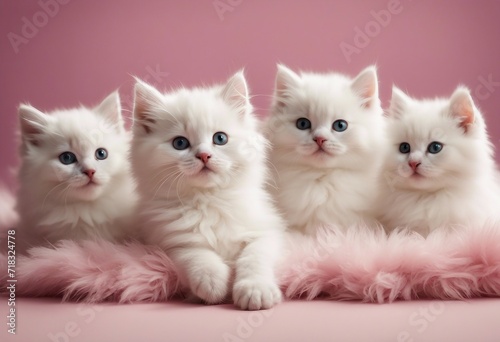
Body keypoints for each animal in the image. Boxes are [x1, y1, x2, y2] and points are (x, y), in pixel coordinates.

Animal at [132, 71, 286, 308]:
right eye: (180, 143)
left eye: (220, 138)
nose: (204, 155)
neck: (209, 200)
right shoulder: (167, 239)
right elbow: (196, 255)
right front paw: (213, 284)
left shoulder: (268, 232)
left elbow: (255, 256)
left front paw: (255, 290)